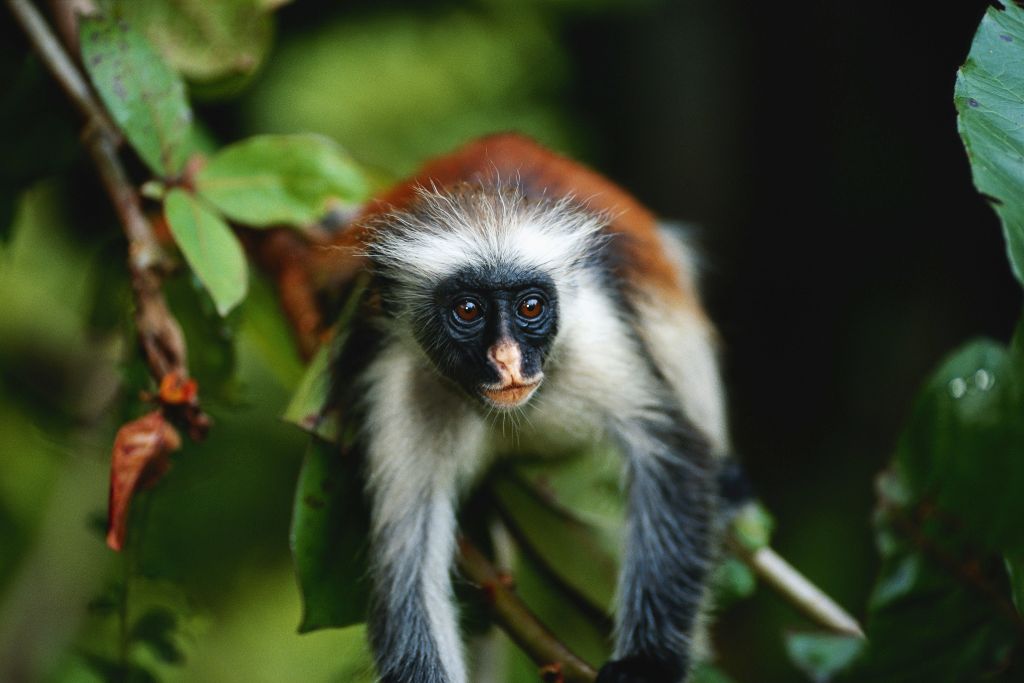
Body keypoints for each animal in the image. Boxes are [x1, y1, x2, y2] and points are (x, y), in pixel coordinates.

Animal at [327, 133, 732, 683]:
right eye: (468, 310)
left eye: (530, 307)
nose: (508, 360)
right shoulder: (401, 380)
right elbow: (405, 558)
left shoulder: (593, 334)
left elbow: (671, 452)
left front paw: (646, 664)